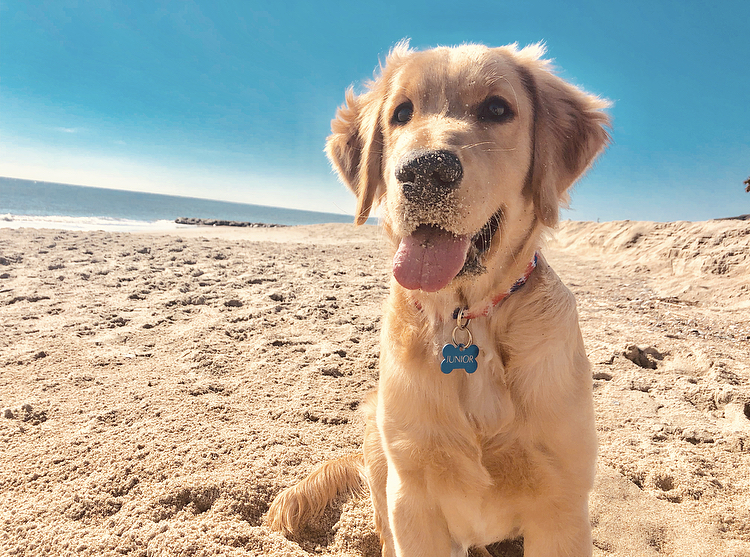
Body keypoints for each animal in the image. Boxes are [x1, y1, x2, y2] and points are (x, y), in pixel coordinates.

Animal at [268, 42, 612, 556]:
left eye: (497, 109)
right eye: (401, 113)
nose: (424, 171)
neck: (464, 316)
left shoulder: (562, 503)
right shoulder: (413, 494)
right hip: (378, 448)